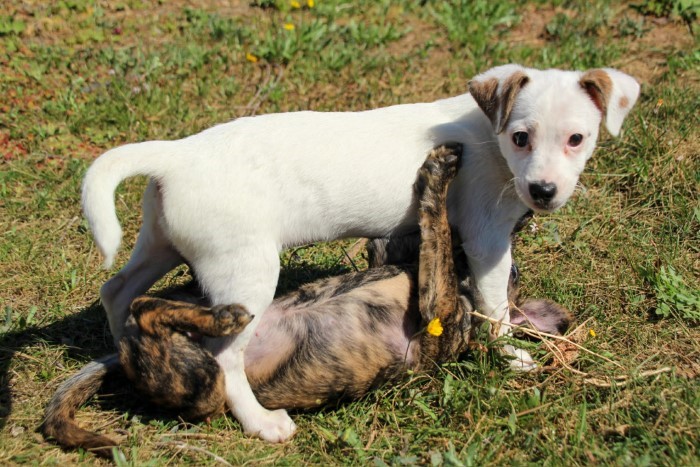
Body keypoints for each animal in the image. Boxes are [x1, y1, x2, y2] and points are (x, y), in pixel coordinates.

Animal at [46, 146, 573, 456]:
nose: (530, 210)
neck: (461, 286)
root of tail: (121, 359)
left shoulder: (438, 309)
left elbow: (437, 230)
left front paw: (440, 177)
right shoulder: (400, 260)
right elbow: (423, 233)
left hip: (198, 386)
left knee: (148, 312)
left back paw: (224, 320)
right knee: (138, 298)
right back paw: (213, 311)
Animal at [81, 64, 638, 440]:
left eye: (577, 139)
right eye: (521, 137)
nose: (543, 192)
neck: (489, 134)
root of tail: (175, 155)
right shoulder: (487, 239)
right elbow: (496, 306)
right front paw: (511, 355)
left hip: (162, 243)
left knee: (118, 290)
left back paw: (124, 350)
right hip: (244, 272)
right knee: (226, 356)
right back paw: (260, 421)